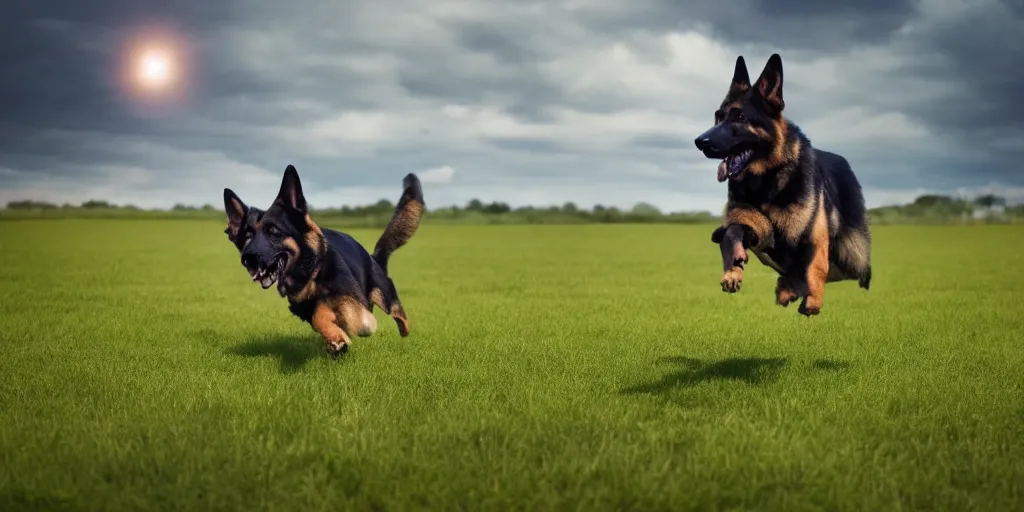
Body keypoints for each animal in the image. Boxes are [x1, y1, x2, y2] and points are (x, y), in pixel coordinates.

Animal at [223, 165, 423, 354]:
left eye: (273, 231)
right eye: (247, 235)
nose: (247, 258)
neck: (310, 273)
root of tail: (373, 258)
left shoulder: (351, 299)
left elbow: (342, 315)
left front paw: (357, 329)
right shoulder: (305, 309)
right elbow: (319, 316)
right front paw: (336, 340)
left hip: (384, 296)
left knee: (399, 315)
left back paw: (401, 327)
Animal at [692, 52, 868, 315]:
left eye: (740, 117)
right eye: (718, 116)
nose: (699, 142)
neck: (766, 182)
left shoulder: (813, 234)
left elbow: (814, 266)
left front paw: (812, 302)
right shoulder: (753, 224)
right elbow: (732, 233)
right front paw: (732, 271)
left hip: (854, 254)